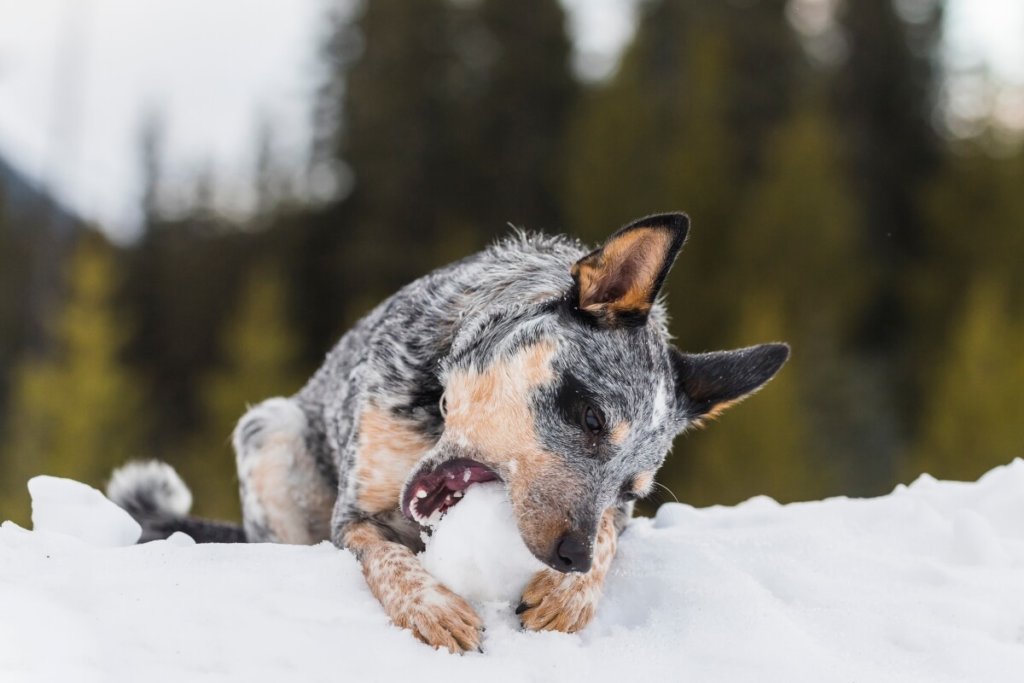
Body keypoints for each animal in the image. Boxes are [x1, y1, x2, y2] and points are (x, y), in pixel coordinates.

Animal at [105, 214, 790, 651]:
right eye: (591, 417)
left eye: (633, 490)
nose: (569, 556)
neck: (435, 401)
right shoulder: (356, 514)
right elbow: (388, 560)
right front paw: (433, 608)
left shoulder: (614, 521)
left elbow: (611, 540)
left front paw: (570, 594)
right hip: (270, 429)